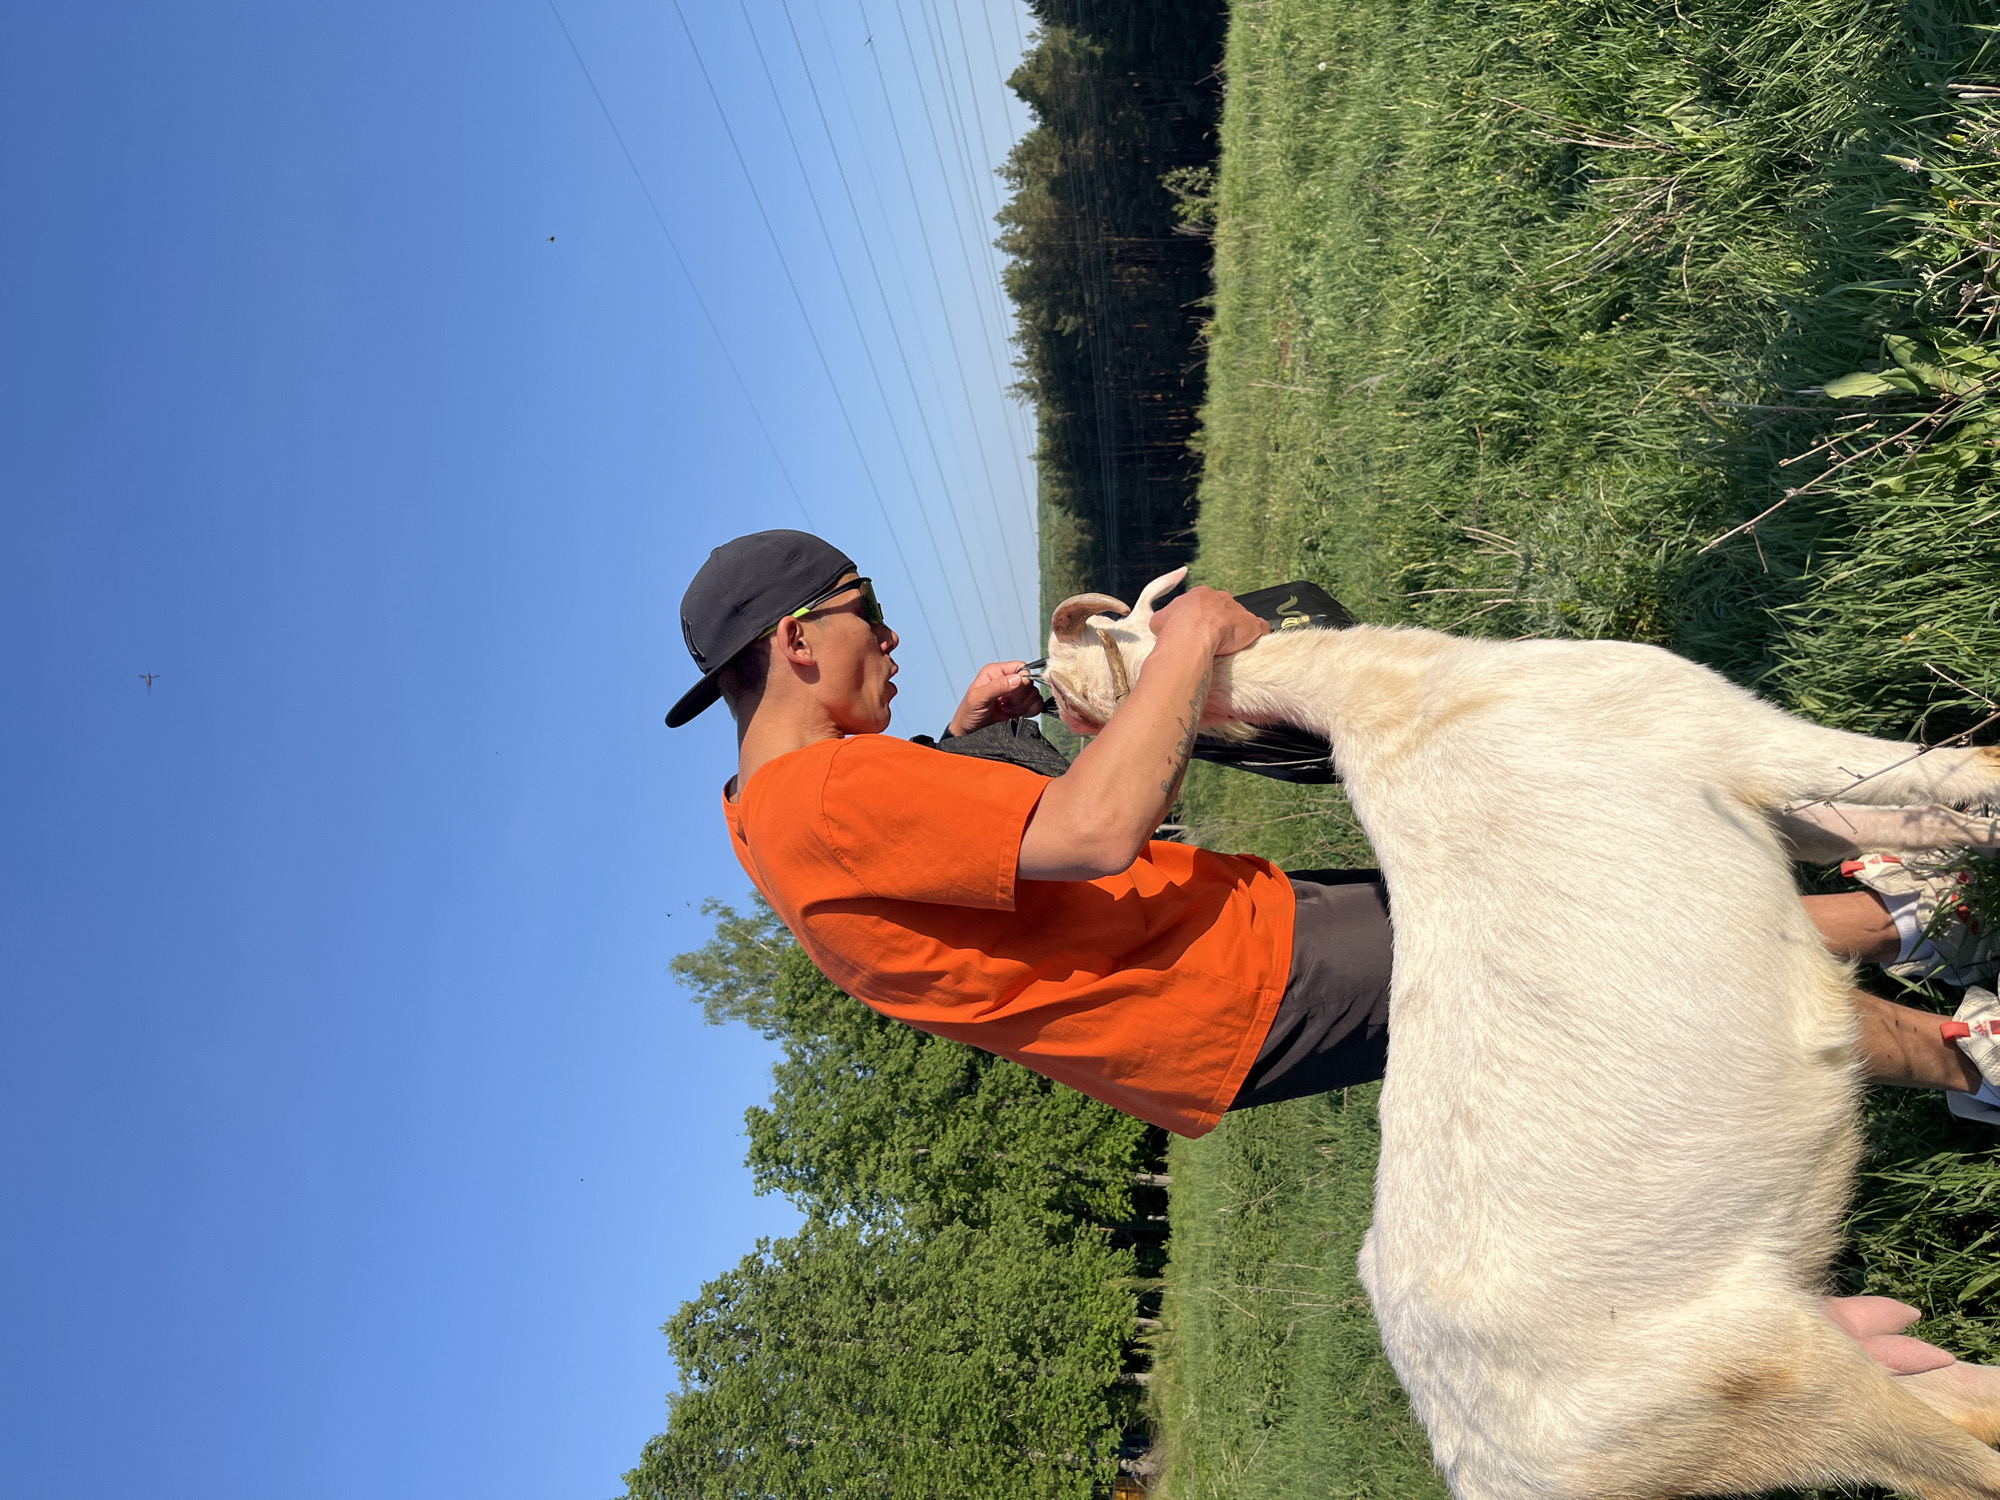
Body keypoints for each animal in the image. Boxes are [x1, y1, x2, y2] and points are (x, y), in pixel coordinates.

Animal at [1042, 566, 2000, 1500]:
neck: (1400, 698)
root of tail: (1480, 1467)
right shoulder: (1718, 726)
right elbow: (1934, 771)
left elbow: (1881, 820)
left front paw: (1943, 880)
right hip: (1765, 1386)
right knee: (1960, 1461)